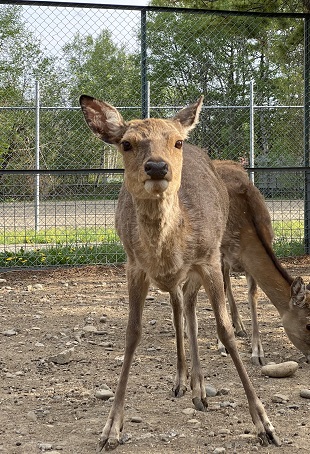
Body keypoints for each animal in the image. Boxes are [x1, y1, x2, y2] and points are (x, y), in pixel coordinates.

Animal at [78, 95, 280, 450]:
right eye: (127, 143)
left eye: (177, 142)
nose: (158, 167)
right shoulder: (134, 265)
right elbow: (133, 333)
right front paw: (110, 429)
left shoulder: (209, 259)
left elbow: (225, 331)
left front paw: (264, 424)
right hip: (174, 278)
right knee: (178, 310)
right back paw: (183, 381)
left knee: (187, 309)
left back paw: (199, 390)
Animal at [213, 160, 310, 366]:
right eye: (308, 325)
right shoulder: (219, 253)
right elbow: (219, 292)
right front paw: (222, 345)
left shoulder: (248, 263)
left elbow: (252, 296)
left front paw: (258, 353)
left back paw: (239, 326)